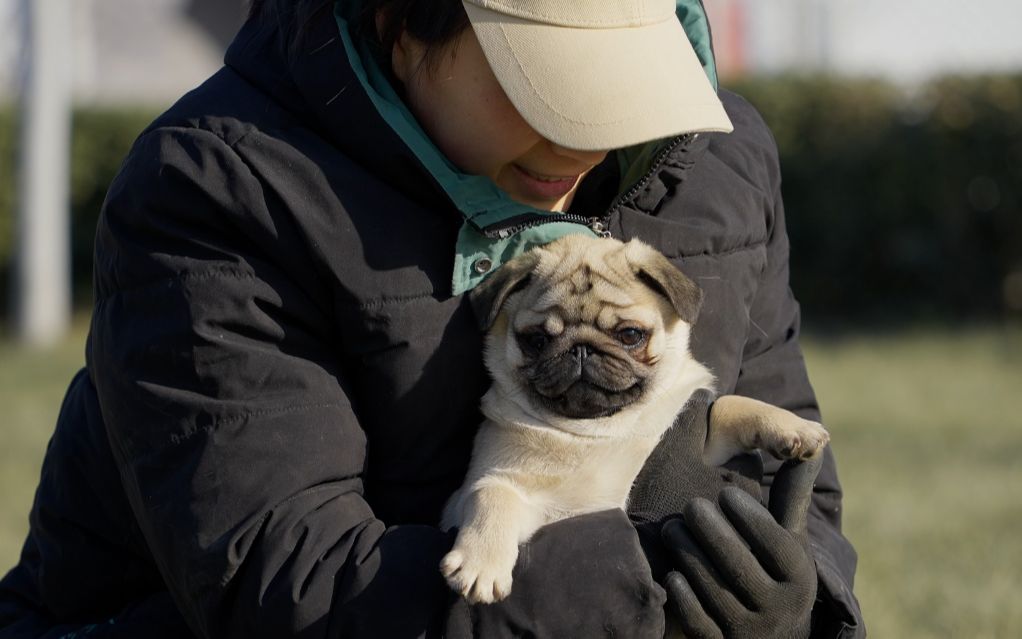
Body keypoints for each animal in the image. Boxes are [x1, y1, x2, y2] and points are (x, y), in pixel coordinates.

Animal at [439, 235, 829, 601]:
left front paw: (794, 428)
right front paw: (481, 565)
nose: (581, 348)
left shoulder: (696, 435)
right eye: (536, 340)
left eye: (629, 335)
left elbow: (727, 407)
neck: (600, 430)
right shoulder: (500, 494)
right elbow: (493, 493)